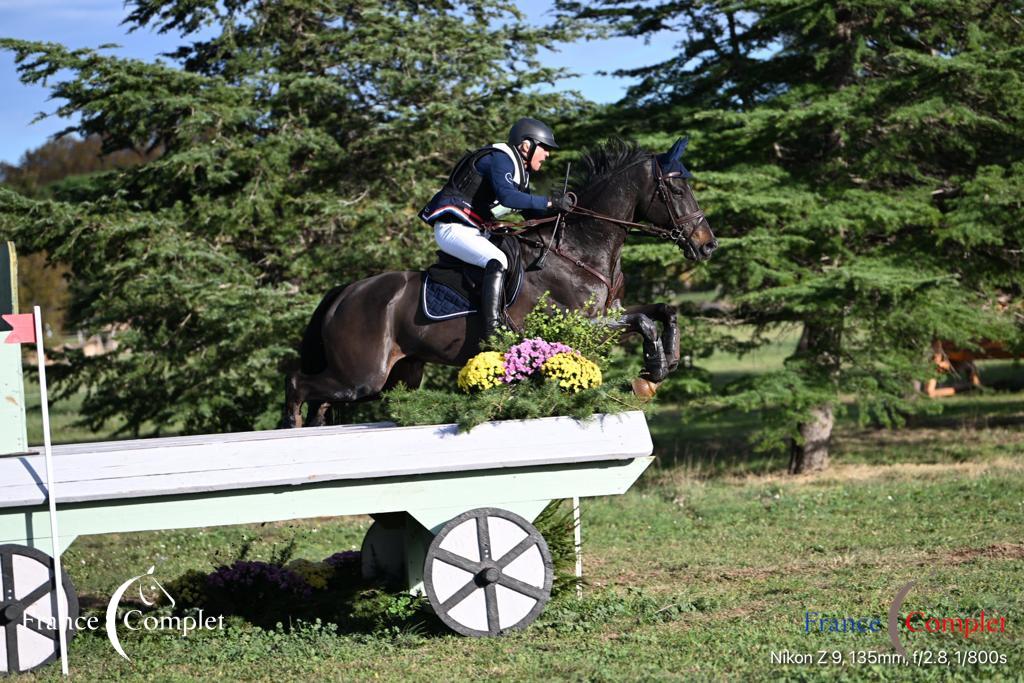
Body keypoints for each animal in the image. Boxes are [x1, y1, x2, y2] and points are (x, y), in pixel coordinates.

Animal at [282, 137, 720, 428]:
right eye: (676, 188)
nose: (707, 245)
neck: (580, 248)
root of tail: (345, 293)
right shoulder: (577, 326)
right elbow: (645, 322)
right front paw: (652, 370)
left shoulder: (610, 315)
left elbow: (663, 311)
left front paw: (666, 362)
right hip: (362, 377)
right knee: (298, 383)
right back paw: (292, 429)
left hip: (398, 374)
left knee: (322, 401)